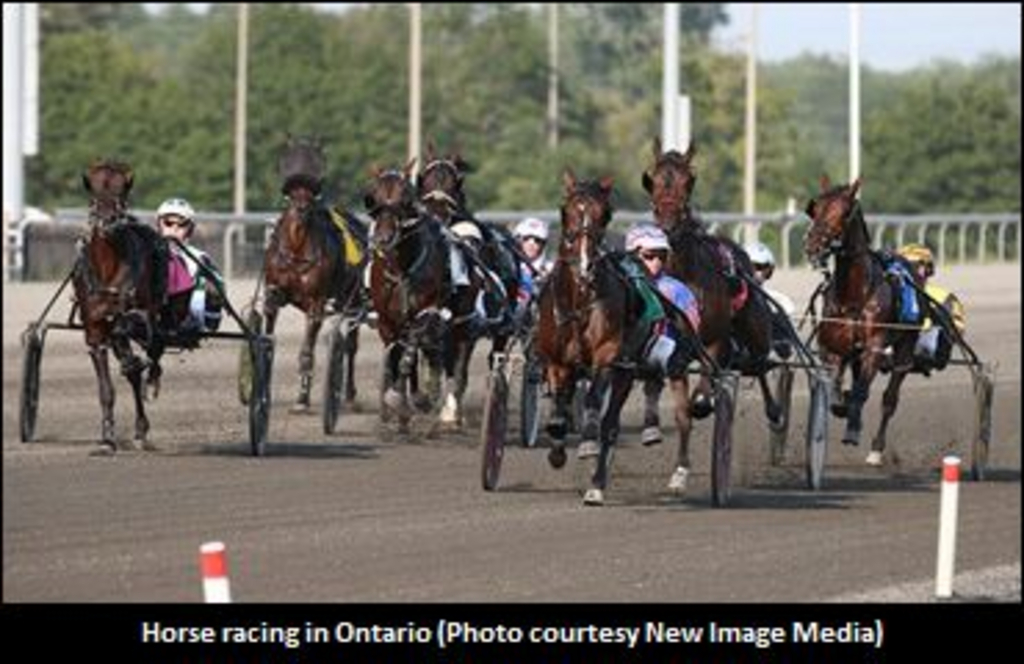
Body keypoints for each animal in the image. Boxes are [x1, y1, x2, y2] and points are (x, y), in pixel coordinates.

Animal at [71, 157, 169, 452]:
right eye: (94, 187)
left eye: (122, 187)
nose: (108, 218)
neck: (106, 264)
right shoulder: (93, 330)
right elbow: (106, 389)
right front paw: (107, 439)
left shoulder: (140, 312)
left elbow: (132, 331)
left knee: (152, 348)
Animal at [260, 137, 368, 411]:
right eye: (292, 190)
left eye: (311, 190)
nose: (301, 210)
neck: (297, 249)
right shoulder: (274, 292)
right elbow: (268, 329)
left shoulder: (316, 303)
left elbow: (307, 352)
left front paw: (301, 400)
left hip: (352, 300)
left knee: (351, 345)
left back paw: (350, 395)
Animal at [643, 137, 778, 491]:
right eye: (652, 178)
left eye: (689, 179)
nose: (666, 225)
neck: (686, 278)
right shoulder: (674, 352)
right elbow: (682, 415)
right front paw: (680, 471)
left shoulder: (715, 341)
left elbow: (701, 400)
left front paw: (708, 401)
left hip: (754, 329)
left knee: (760, 363)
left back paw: (775, 413)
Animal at [798, 176, 921, 467]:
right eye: (815, 208)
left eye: (844, 212)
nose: (814, 245)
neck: (855, 296)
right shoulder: (832, 348)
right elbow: (836, 394)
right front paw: (842, 406)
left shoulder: (874, 348)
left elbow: (862, 393)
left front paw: (853, 427)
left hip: (904, 349)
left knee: (890, 398)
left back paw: (876, 448)